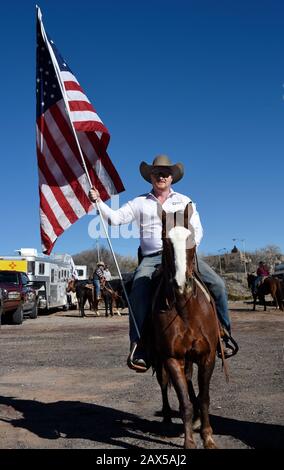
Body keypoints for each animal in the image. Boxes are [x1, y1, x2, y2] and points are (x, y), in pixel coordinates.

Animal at [152, 204, 221, 450]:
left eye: (191, 237)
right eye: (165, 239)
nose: (181, 284)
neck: (185, 306)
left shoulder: (207, 356)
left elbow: (204, 398)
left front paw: (207, 436)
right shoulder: (172, 358)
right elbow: (184, 403)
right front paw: (189, 441)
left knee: (191, 384)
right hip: (162, 360)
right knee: (164, 385)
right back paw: (165, 418)